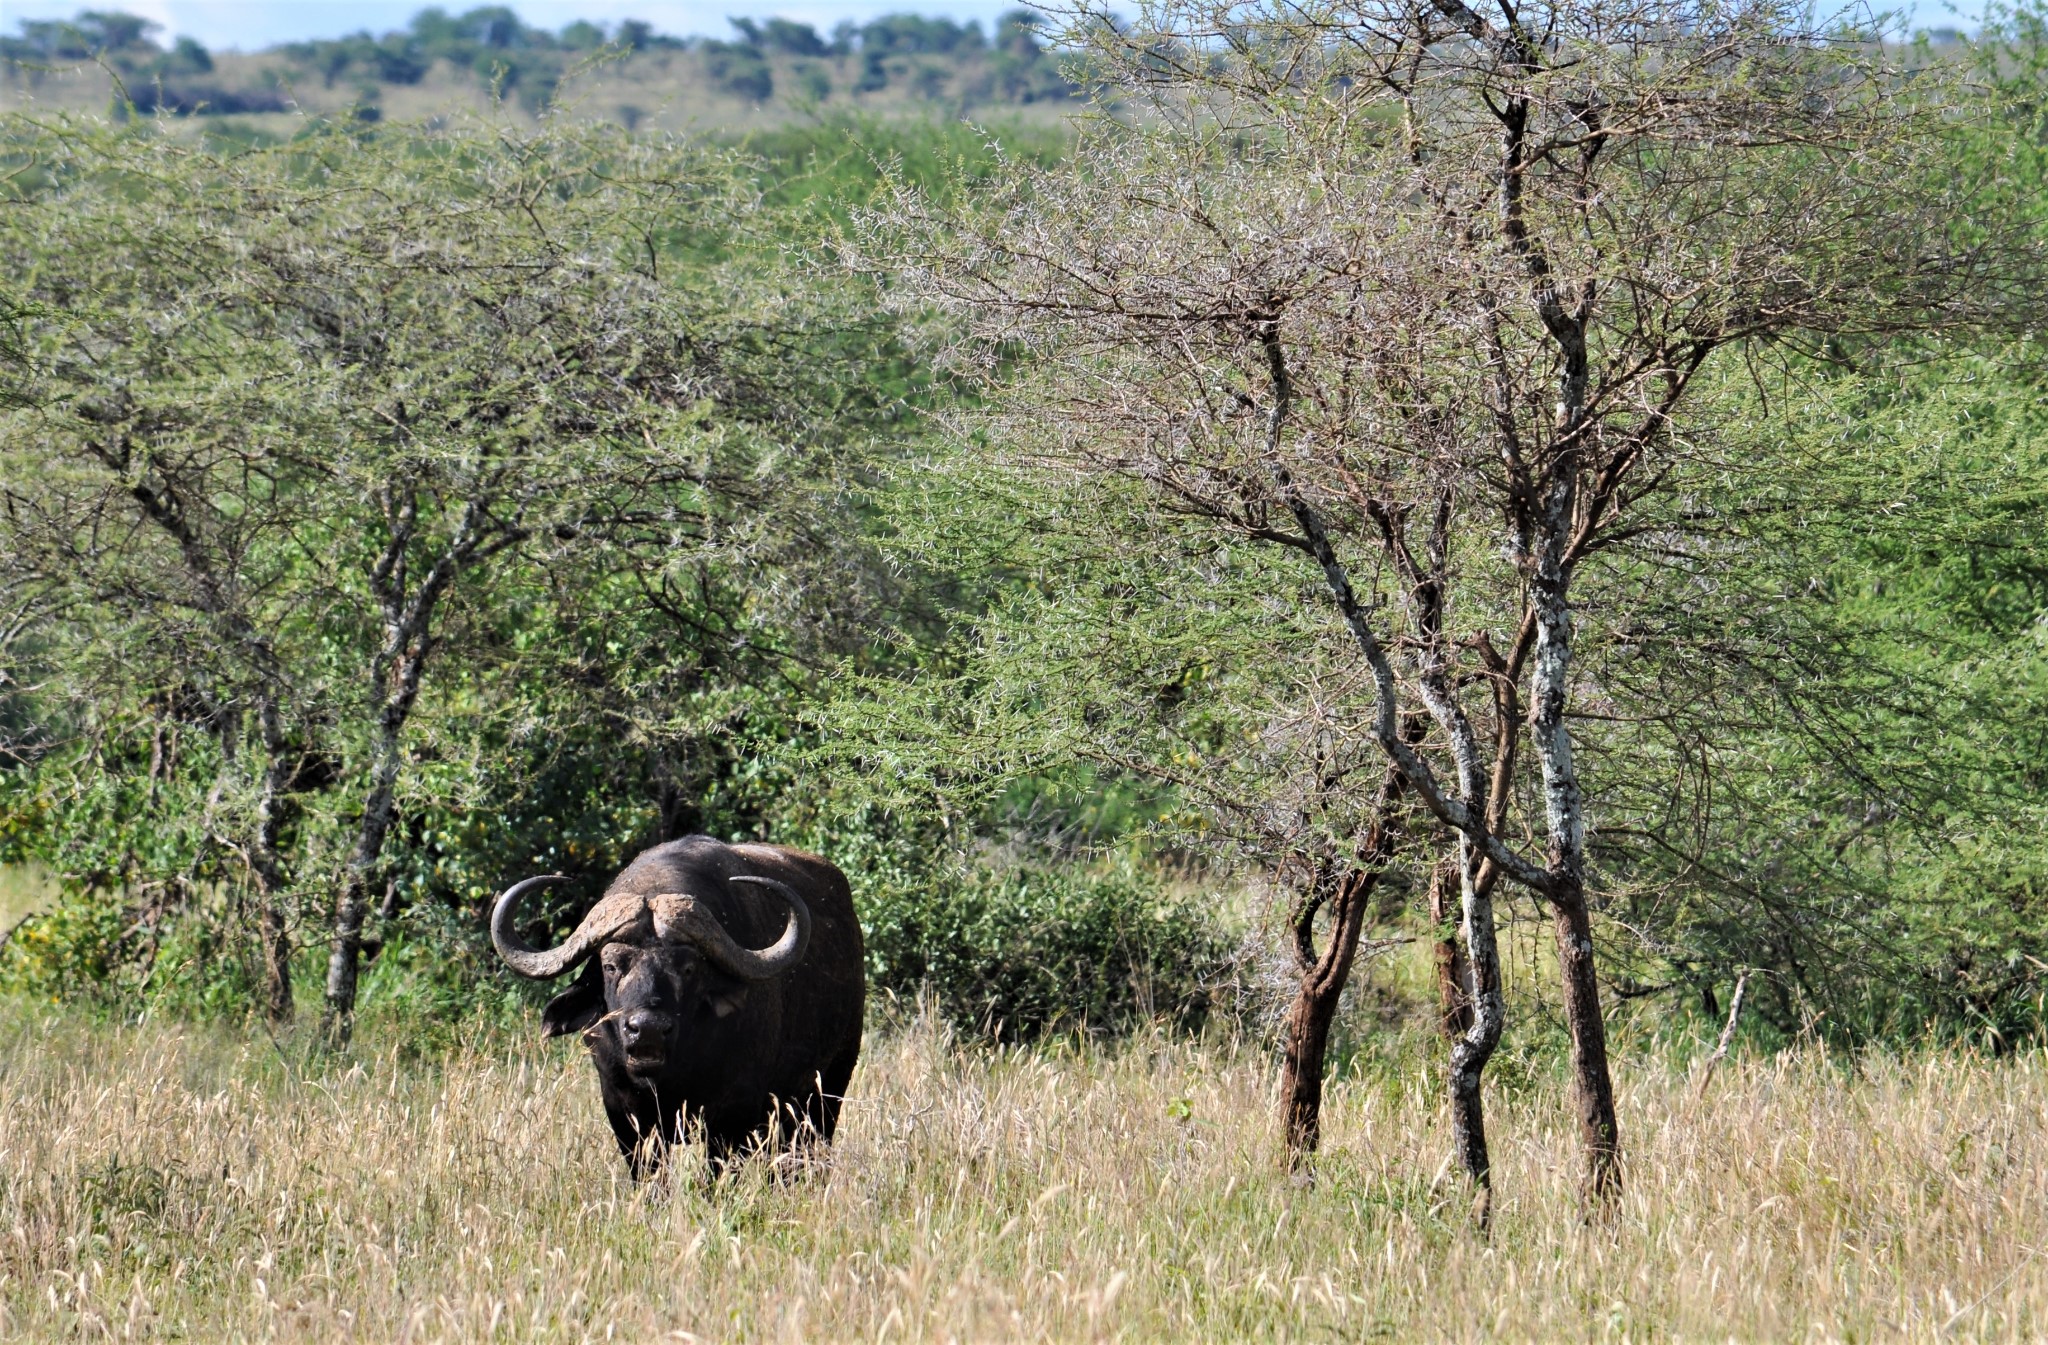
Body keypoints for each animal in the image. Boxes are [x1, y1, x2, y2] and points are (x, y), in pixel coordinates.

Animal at [493, 835, 864, 1170]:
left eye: (687, 968)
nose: (647, 1030)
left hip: (827, 1090)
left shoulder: (732, 1116)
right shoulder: (625, 1117)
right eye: (611, 965)